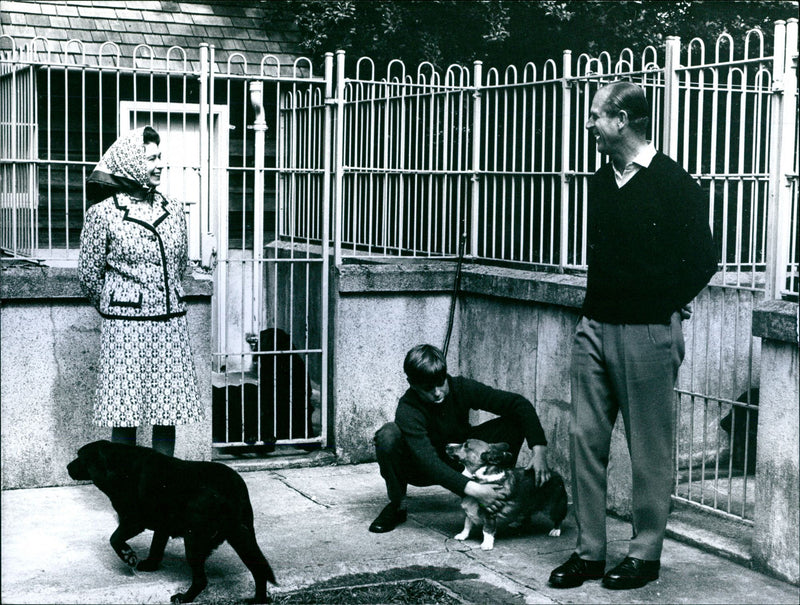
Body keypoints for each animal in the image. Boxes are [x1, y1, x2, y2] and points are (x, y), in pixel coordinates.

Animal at [66, 438, 278, 604]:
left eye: (80, 457)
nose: (67, 467)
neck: (119, 468)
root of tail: (233, 491)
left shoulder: (134, 520)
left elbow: (115, 538)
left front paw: (128, 555)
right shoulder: (162, 525)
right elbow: (156, 547)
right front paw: (150, 565)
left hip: (194, 540)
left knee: (201, 580)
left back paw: (184, 598)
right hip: (242, 537)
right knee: (259, 570)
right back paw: (258, 600)